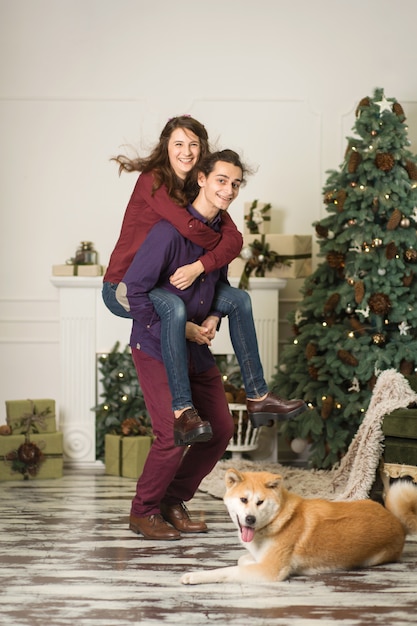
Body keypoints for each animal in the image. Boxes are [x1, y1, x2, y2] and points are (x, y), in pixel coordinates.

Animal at [181, 466, 416, 584]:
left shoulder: (269, 571)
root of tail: (396, 521)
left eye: (260, 502)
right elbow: (242, 559)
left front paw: (195, 576)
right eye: (243, 500)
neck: (277, 520)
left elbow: (227, 570)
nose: (250, 519)